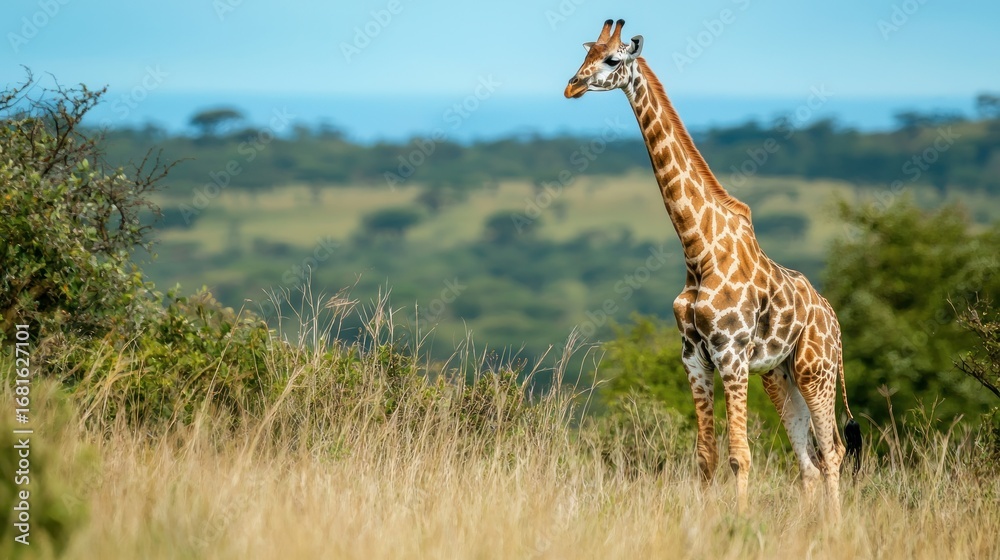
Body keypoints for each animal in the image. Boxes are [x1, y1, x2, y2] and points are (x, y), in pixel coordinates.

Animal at [564, 19, 861, 515]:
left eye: (612, 59)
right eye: (585, 55)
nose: (572, 85)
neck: (698, 250)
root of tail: (834, 320)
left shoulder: (731, 355)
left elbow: (741, 455)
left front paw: (738, 523)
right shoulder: (694, 357)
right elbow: (706, 454)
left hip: (814, 369)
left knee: (833, 450)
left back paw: (835, 526)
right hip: (779, 375)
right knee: (809, 458)